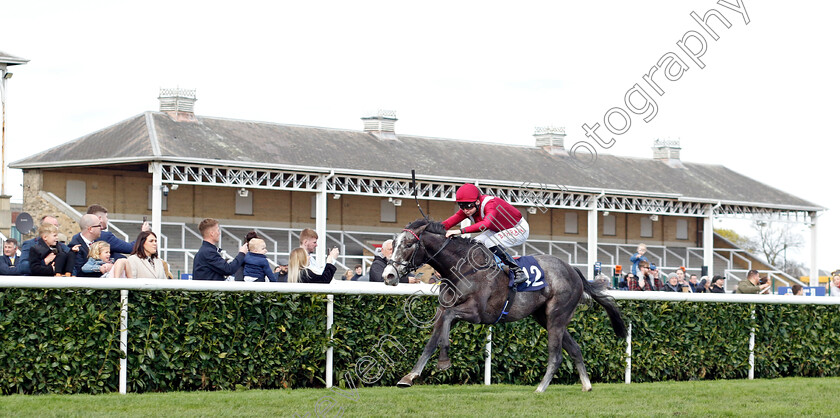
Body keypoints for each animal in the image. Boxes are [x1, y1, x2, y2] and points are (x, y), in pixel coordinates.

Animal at [384, 220, 628, 394]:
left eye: (408, 245)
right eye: (393, 244)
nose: (389, 275)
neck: (461, 267)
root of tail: (574, 270)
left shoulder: (477, 313)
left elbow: (449, 320)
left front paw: (444, 361)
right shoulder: (443, 310)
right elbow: (432, 340)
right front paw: (409, 377)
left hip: (557, 316)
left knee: (557, 355)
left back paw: (540, 388)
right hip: (545, 317)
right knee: (575, 349)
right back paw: (586, 385)